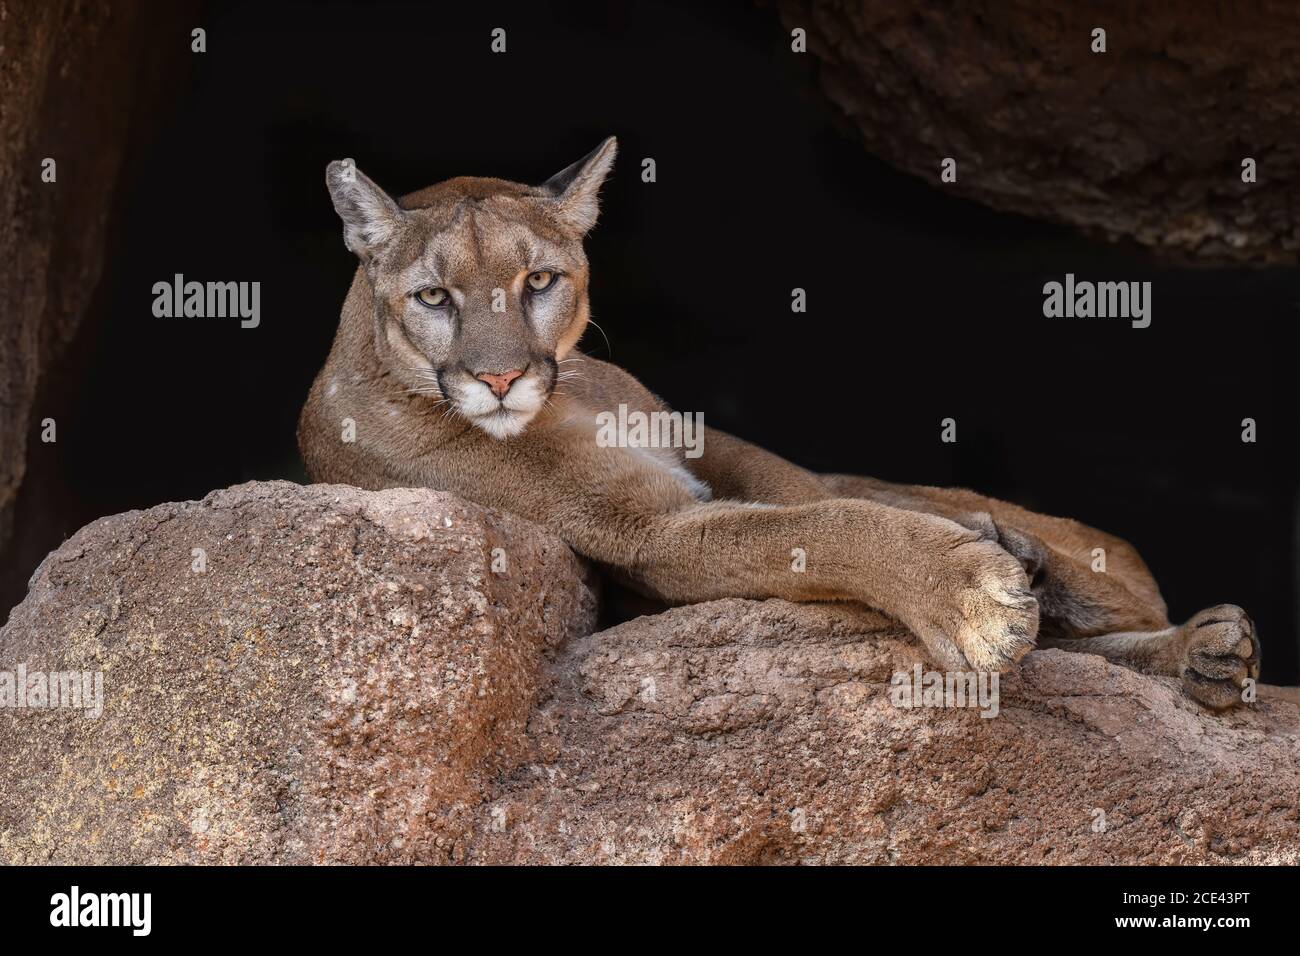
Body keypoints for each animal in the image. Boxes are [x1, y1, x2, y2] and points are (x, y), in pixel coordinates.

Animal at [301, 140, 1258, 712]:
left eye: (538, 281)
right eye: (435, 297)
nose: (499, 378)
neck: (572, 397)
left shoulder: (702, 440)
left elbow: (804, 491)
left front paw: (991, 559)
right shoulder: (652, 533)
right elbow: (818, 527)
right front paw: (970, 594)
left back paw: (1187, 639)